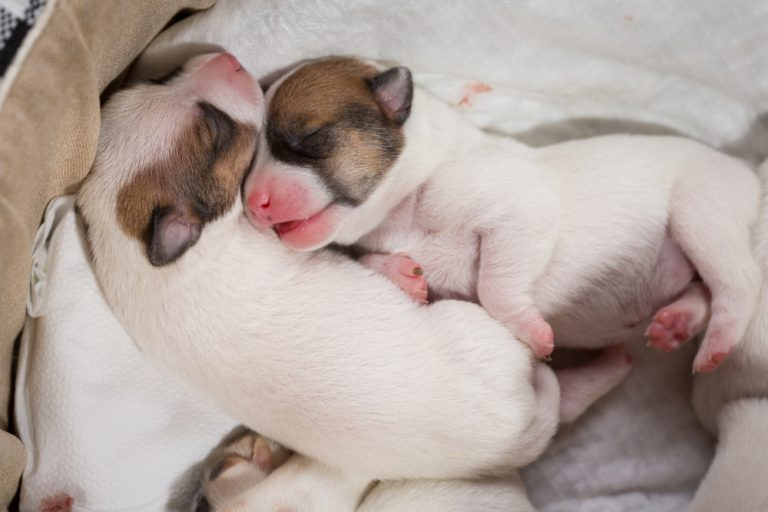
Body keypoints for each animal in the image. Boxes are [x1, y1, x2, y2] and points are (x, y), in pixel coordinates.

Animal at [76, 53, 632, 512]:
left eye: (159, 76)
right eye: (215, 129)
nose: (227, 57)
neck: (128, 247)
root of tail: (528, 431)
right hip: (476, 330)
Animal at [243, 56, 760, 372]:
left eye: (308, 139)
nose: (252, 204)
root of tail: (751, 174)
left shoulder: (518, 213)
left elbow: (496, 286)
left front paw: (531, 331)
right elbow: (372, 260)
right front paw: (404, 275)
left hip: (702, 209)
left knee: (738, 284)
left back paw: (717, 343)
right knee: (704, 289)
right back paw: (679, 321)